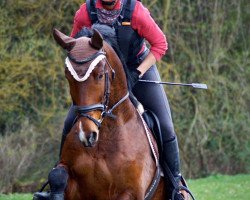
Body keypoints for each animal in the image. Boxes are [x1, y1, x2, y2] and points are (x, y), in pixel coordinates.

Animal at [51, 27, 167, 199]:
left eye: (100, 75)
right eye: (68, 77)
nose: (87, 135)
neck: (104, 138)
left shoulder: (131, 192)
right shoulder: (69, 176)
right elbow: (57, 175)